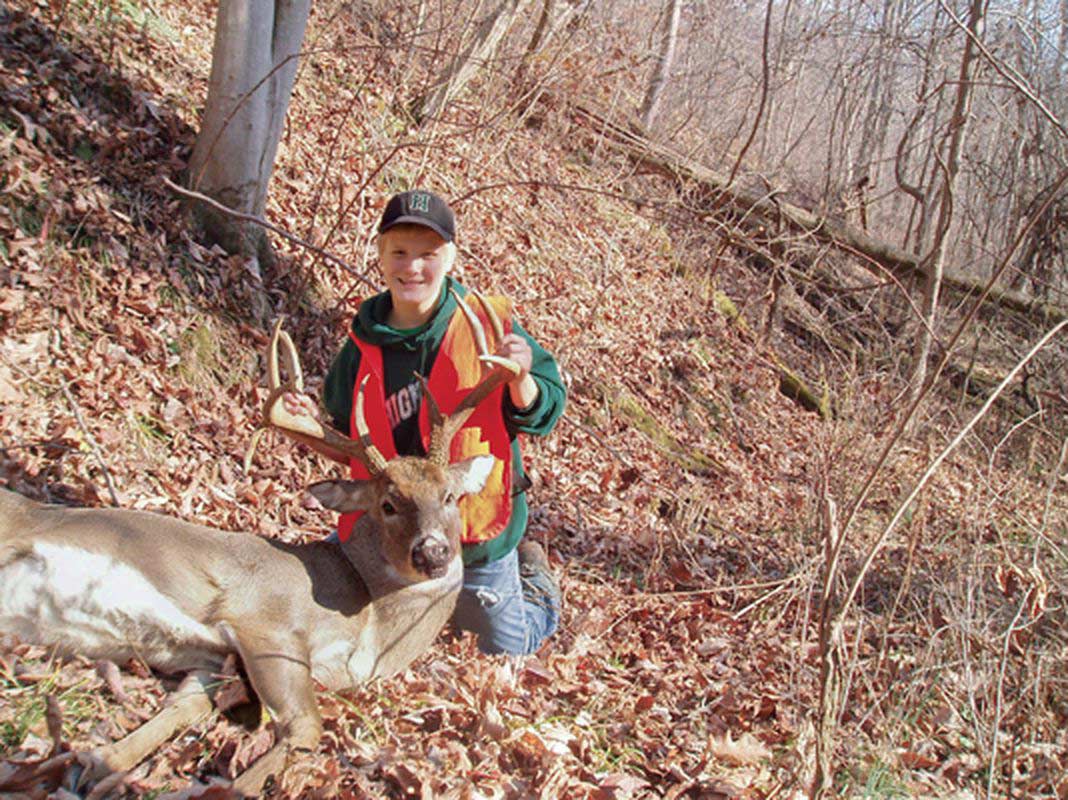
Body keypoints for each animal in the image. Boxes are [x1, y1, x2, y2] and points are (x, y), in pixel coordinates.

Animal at [0, 290, 519, 794]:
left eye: (449, 496)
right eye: (388, 504)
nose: (432, 552)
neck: (368, 629)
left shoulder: (220, 659)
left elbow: (181, 709)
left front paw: (99, 763)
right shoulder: (267, 624)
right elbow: (306, 726)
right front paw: (231, 788)